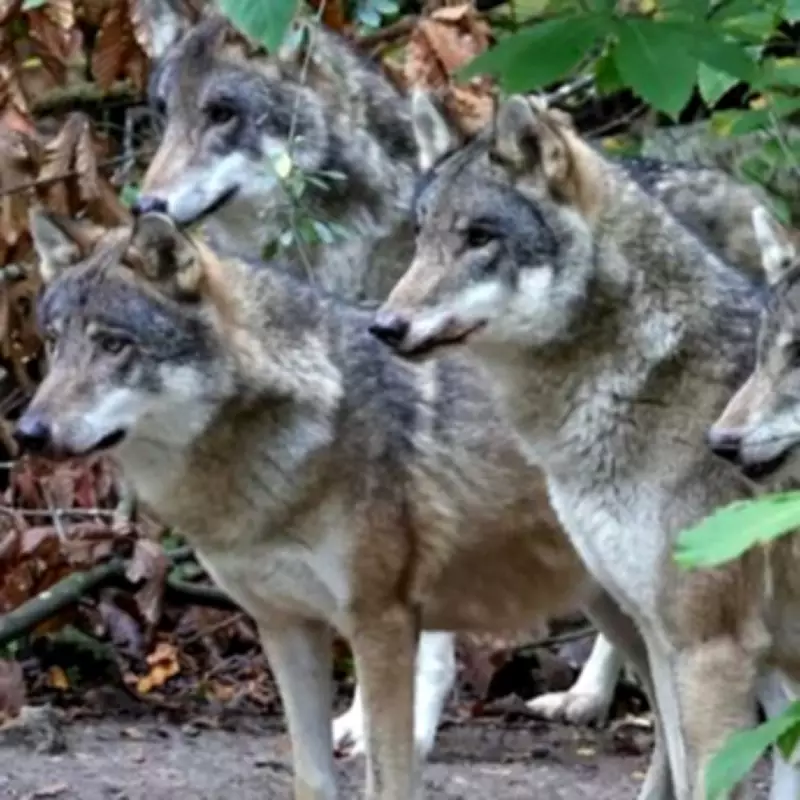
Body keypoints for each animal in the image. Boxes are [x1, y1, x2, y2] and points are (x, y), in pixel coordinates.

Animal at [16, 209, 671, 799]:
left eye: (113, 346)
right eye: (54, 343)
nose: (28, 432)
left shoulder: (382, 623)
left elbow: (389, 778)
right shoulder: (286, 626)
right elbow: (310, 778)